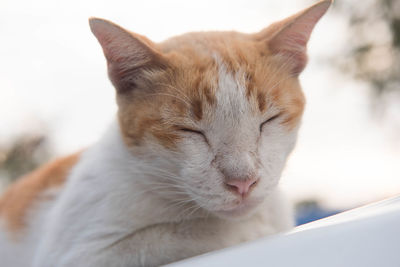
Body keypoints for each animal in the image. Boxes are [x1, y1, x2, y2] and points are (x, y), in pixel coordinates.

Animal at [0, 1, 332, 266]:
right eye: (189, 130)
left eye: (269, 120)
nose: (243, 182)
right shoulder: (80, 254)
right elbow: (193, 233)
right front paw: (244, 229)